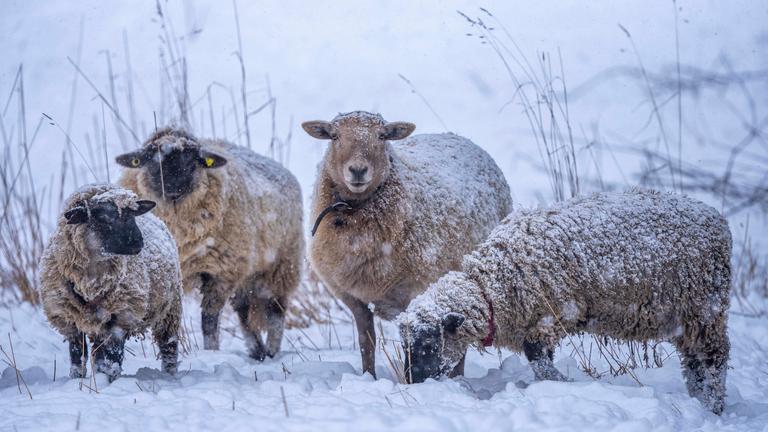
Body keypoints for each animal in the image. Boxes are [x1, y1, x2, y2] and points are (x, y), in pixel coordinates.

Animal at [39, 183, 182, 381]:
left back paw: (170, 374)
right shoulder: (68, 319)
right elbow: (78, 355)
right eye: (102, 216)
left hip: (170, 309)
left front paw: (110, 379)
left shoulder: (122, 315)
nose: (138, 242)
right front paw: (78, 379)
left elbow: (113, 357)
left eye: (132, 213)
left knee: (168, 344)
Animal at [116, 128, 303, 361]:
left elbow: (209, 320)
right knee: (244, 309)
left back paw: (270, 351)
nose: (172, 189)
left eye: (192, 160)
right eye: (151, 160)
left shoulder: (220, 273)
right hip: (247, 271)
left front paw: (211, 352)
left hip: (281, 265)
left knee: (275, 308)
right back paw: (256, 350)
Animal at [302, 111, 512, 377]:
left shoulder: (414, 294)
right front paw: (369, 377)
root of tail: (460, 137)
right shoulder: (352, 298)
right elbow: (366, 343)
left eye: (382, 136)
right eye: (334, 136)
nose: (358, 170)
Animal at [399, 190, 732, 414]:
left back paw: (712, 406)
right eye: (405, 346)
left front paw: (561, 383)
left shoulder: (552, 314)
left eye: (428, 344)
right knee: (695, 364)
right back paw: (699, 401)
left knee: (715, 359)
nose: (413, 382)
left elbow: (537, 357)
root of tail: (719, 221)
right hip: (688, 320)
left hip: (705, 310)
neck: (493, 285)